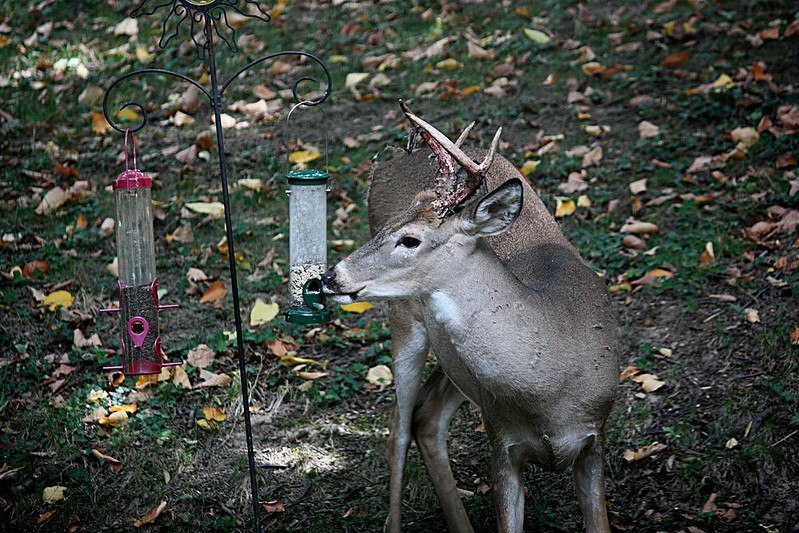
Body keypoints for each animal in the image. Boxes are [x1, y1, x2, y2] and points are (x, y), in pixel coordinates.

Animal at [322, 102, 620, 528]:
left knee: (425, 417)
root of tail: (391, 163)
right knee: (398, 427)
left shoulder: (595, 439)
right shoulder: (501, 441)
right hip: (404, 320)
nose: (330, 276)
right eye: (389, 227)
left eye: (409, 239)